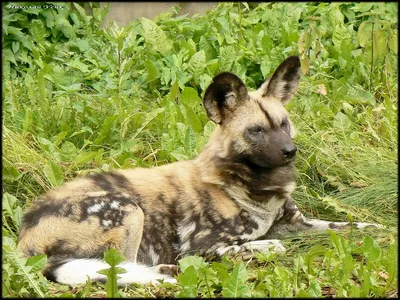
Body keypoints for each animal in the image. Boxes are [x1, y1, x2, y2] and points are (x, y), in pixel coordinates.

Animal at [17, 55, 378, 284]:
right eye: (256, 131)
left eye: (284, 123)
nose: (290, 152)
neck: (254, 188)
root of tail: (23, 237)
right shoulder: (202, 247)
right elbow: (258, 246)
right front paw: (262, 247)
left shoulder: (298, 223)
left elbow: (349, 226)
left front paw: (379, 229)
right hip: (128, 210)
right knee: (121, 266)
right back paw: (164, 273)